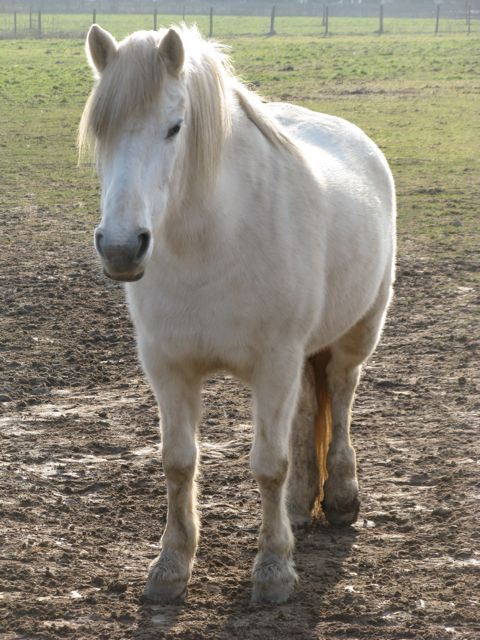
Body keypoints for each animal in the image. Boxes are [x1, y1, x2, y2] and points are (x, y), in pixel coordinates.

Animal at [79, 25, 394, 604]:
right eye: (100, 132)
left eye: (174, 127)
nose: (121, 247)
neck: (214, 241)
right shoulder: (169, 368)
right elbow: (178, 462)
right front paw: (170, 566)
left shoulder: (274, 364)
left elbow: (268, 465)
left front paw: (273, 570)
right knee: (308, 410)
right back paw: (301, 505)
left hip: (355, 336)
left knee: (340, 397)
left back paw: (340, 499)